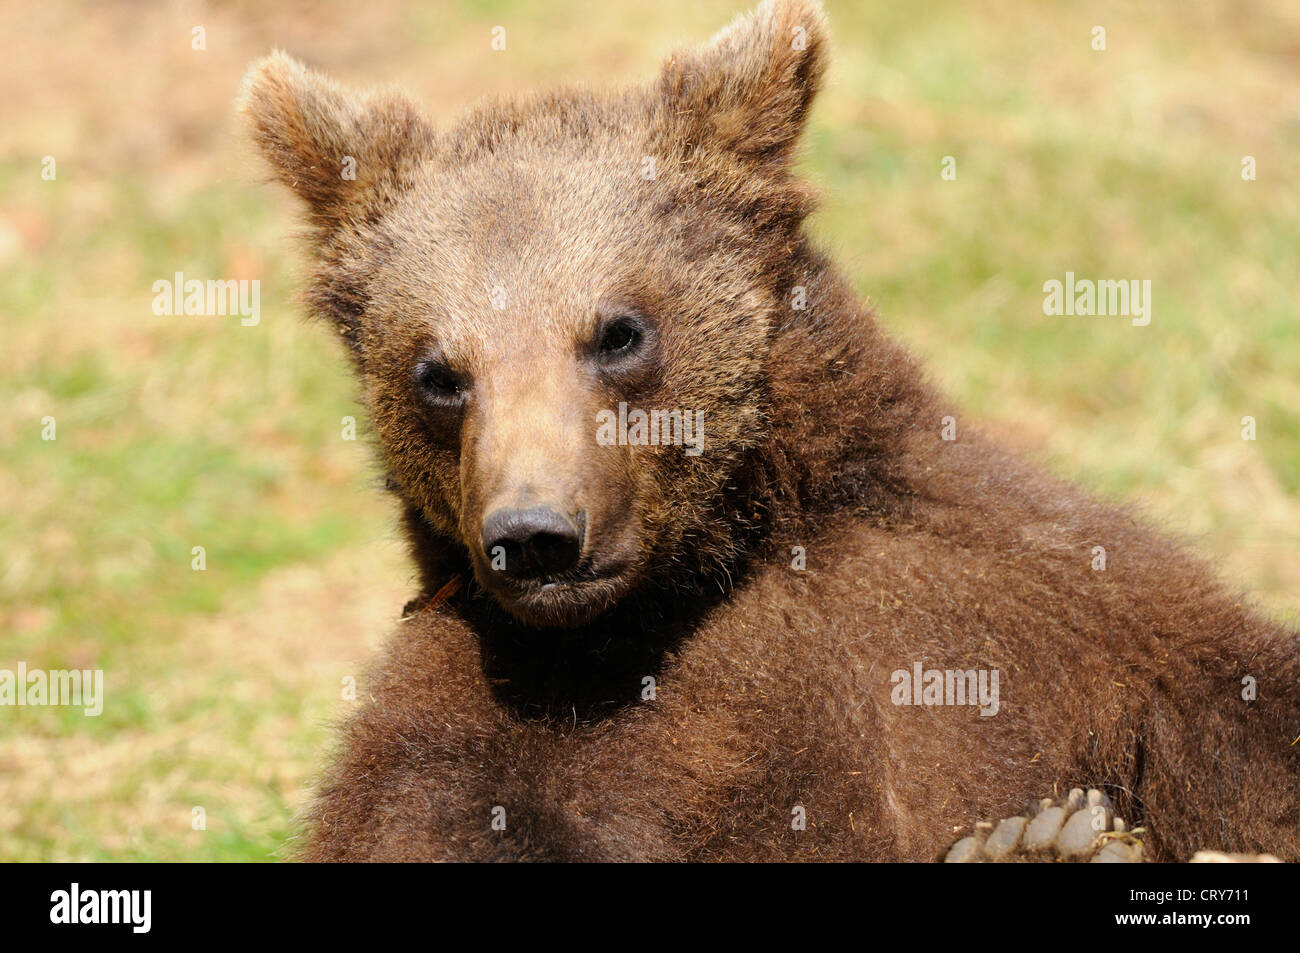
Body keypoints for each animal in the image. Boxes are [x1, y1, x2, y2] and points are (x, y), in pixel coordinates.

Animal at [240, 0, 1300, 861]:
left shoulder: (1063, 606)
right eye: (437, 373)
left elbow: (1247, 726)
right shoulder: (476, 710)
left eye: (619, 331)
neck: (717, 565)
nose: (535, 536)